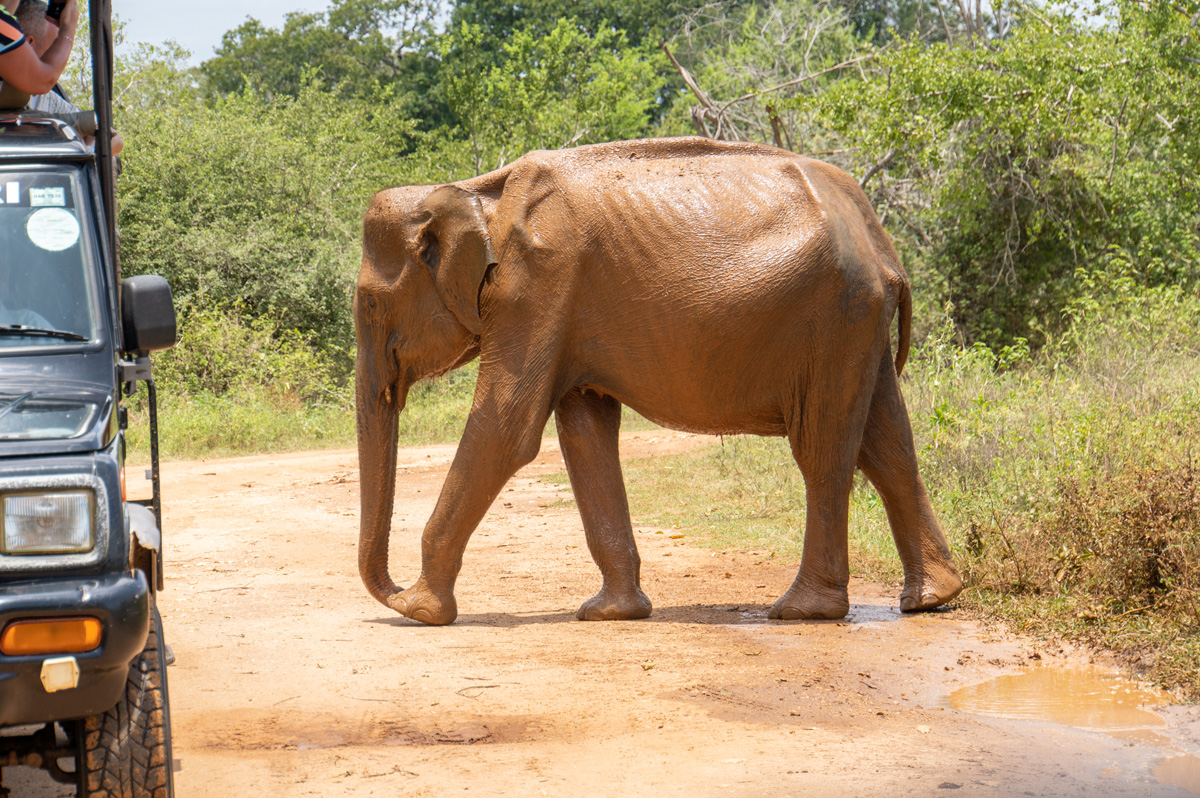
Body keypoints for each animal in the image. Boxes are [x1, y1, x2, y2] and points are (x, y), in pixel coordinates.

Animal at [354, 136, 962, 626]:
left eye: (369, 304)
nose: (392, 593)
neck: (476, 192)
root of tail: (883, 244)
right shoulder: (556, 306)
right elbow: (585, 433)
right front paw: (610, 614)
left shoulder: (537, 285)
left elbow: (505, 429)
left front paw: (420, 612)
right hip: (860, 320)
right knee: (889, 445)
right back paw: (931, 599)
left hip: (836, 316)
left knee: (825, 452)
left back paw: (801, 611)